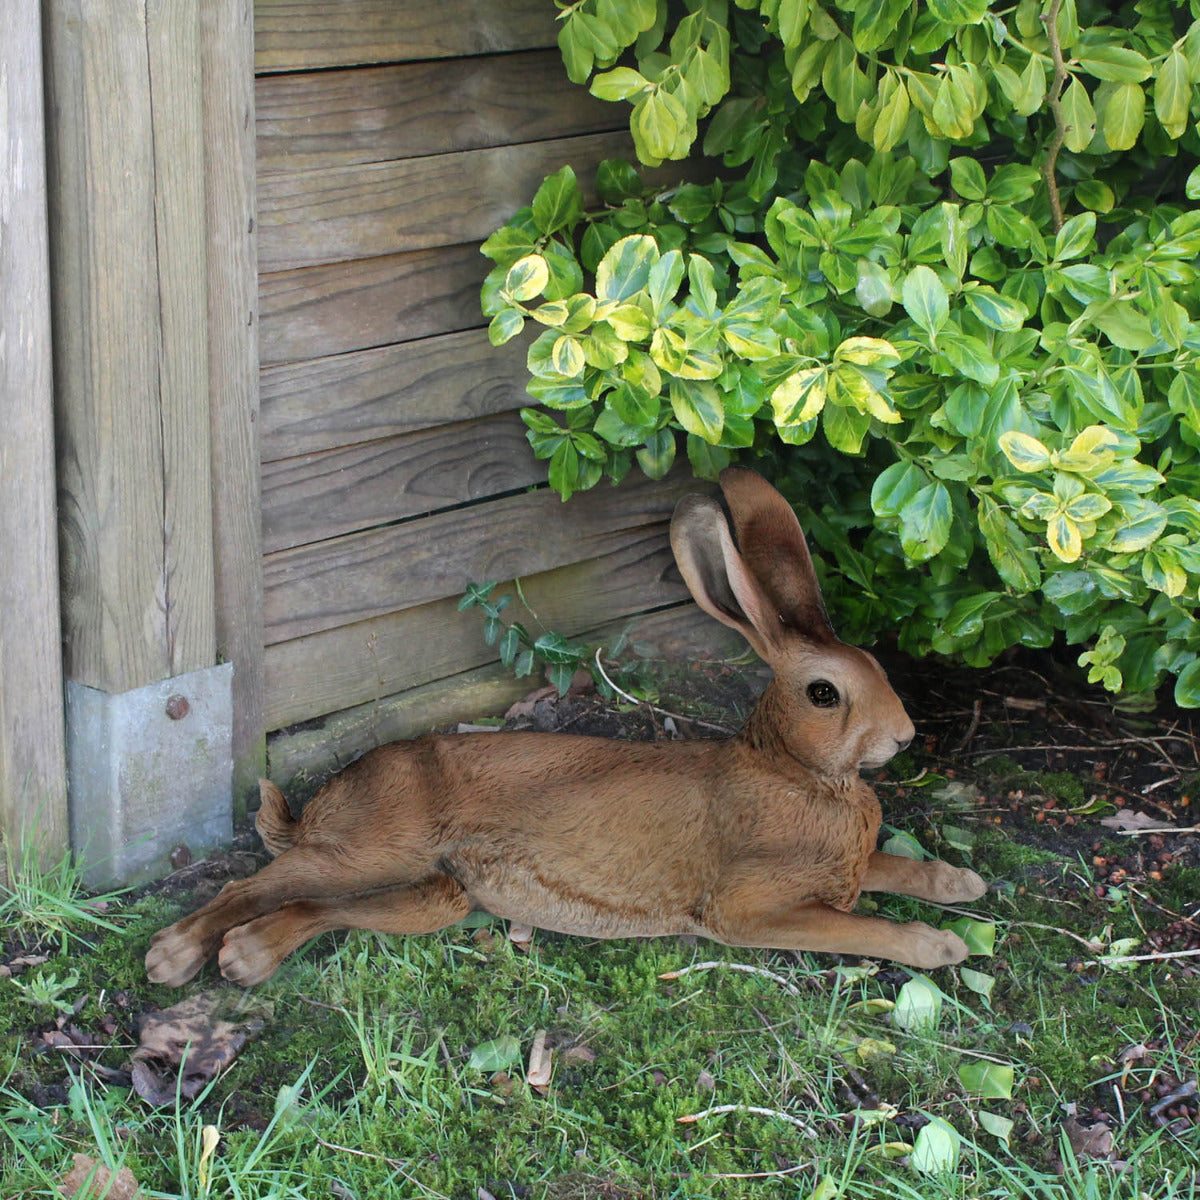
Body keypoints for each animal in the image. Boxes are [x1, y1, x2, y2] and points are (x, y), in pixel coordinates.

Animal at [146, 466, 986, 988]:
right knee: (253, 885)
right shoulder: (754, 907)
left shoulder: (842, 868)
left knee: (311, 908)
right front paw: (941, 945)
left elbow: (889, 870)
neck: (795, 771)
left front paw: (960, 883)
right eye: (823, 693)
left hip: (436, 895)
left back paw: (246, 956)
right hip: (371, 849)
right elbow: (861, 925)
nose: (904, 736)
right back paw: (179, 958)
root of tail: (319, 806)